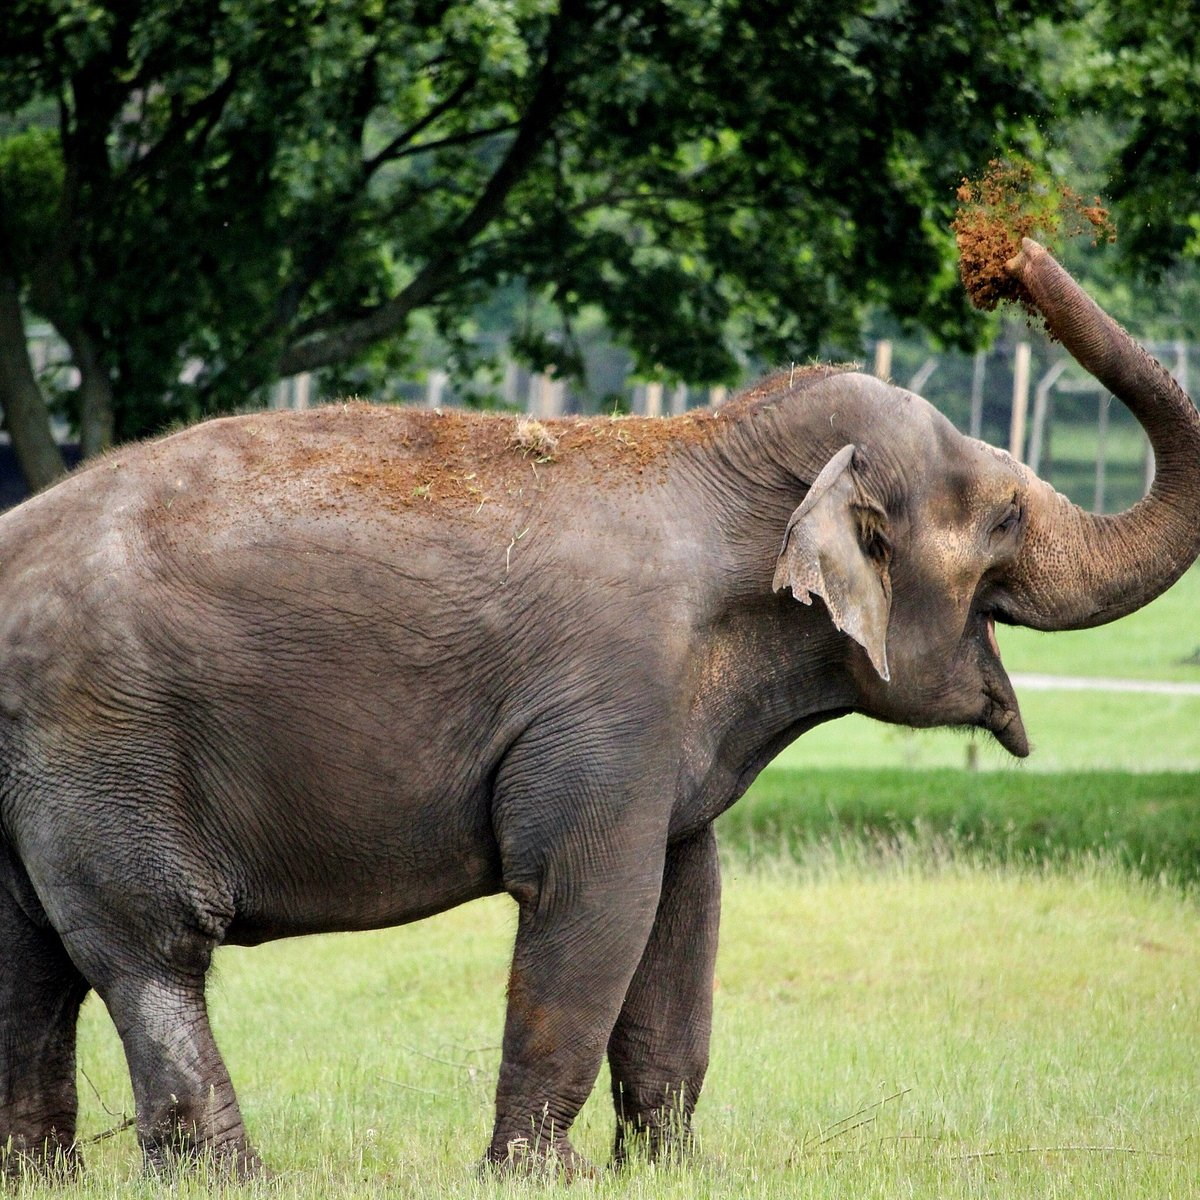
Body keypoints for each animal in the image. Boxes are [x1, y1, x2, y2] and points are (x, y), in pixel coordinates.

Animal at [2, 238, 1200, 1176]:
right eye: (1004, 518)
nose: (1013, 257)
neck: (719, 449)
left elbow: (687, 902)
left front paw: (670, 1172)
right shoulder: (614, 700)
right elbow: (596, 900)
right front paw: (540, 1178)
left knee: (30, 960)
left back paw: (49, 1176)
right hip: (102, 741)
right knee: (148, 945)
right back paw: (235, 1179)